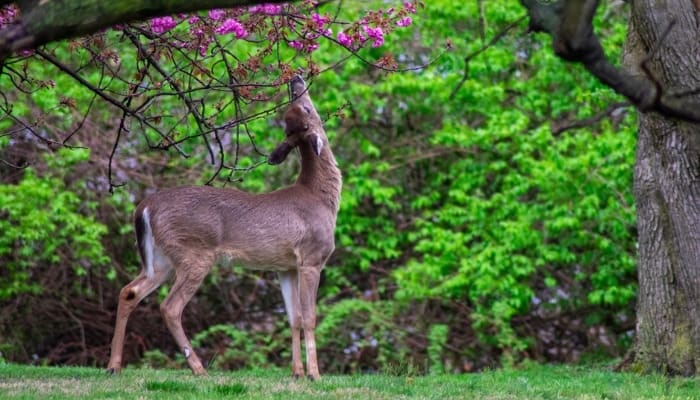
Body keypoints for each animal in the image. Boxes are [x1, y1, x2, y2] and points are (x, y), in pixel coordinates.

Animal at [104, 76, 342, 380]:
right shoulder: (312, 257)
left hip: (161, 258)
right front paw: (314, 374)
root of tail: (143, 207)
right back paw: (198, 367)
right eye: (307, 108)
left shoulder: (286, 266)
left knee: (129, 291)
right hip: (194, 253)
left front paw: (297, 373)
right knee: (170, 307)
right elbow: (310, 317)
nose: (295, 79)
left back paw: (114, 365)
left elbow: (294, 318)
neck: (320, 198)